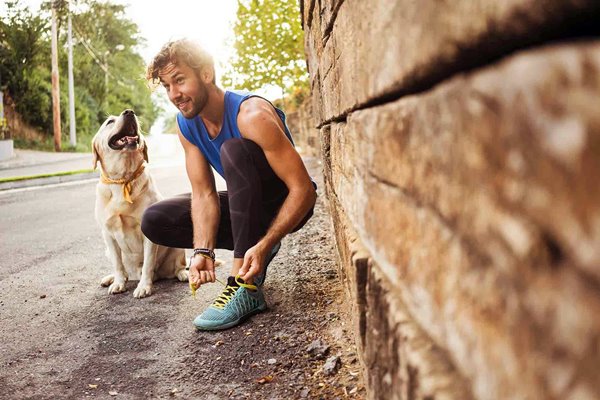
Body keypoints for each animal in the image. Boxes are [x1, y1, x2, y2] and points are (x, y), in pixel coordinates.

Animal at [91, 108, 188, 296]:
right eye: (109, 122)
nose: (129, 112)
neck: (123, 179)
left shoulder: (147, 234)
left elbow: (148, 263)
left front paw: (144, 287)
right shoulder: (107, 234)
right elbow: (117, 264)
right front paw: (118, 283)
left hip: (176, 247)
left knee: (178, 266)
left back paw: (183, 274)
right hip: (107, 250)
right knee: (124, 270)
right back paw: (111, 278)